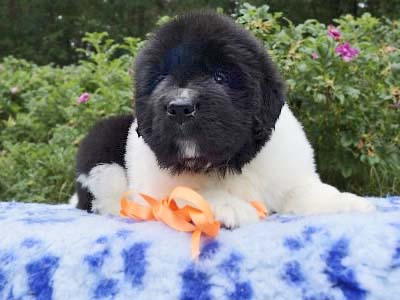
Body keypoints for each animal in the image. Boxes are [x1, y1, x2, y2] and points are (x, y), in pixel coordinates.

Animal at [72, 11, 376, 227]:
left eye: (220, 77)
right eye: (160, 79)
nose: (180, 107)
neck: (226, 164)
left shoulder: (291, 177)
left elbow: (312, 192)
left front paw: (350, 203)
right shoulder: (157, 189)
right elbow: (191, 192)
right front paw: (229, 206)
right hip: (101, 153)